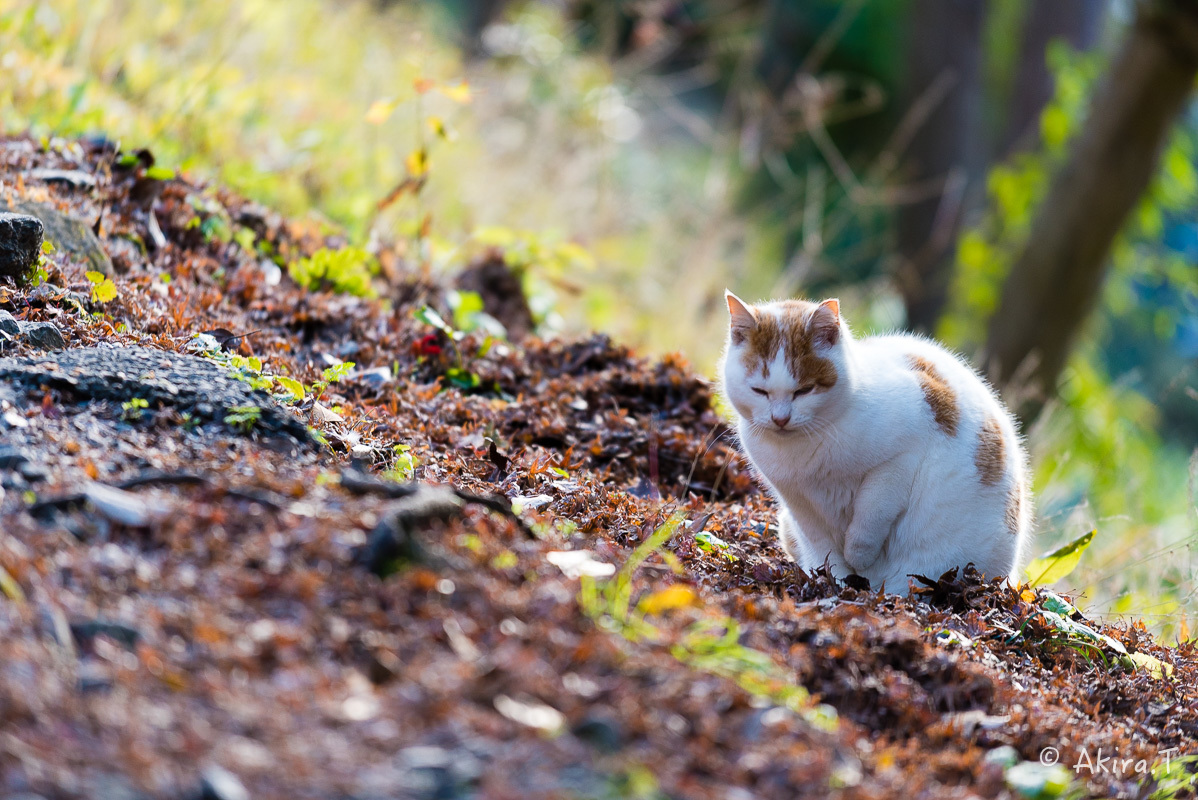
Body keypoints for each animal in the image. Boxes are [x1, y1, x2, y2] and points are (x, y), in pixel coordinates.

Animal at [714, 291, 1035, 591]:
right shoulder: (797, 500)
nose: (780, 419)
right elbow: (822, 546)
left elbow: (871, 513)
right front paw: (834, 580)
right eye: (759, 391)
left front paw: (858, 555)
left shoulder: (905, 457)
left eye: (804, 390)